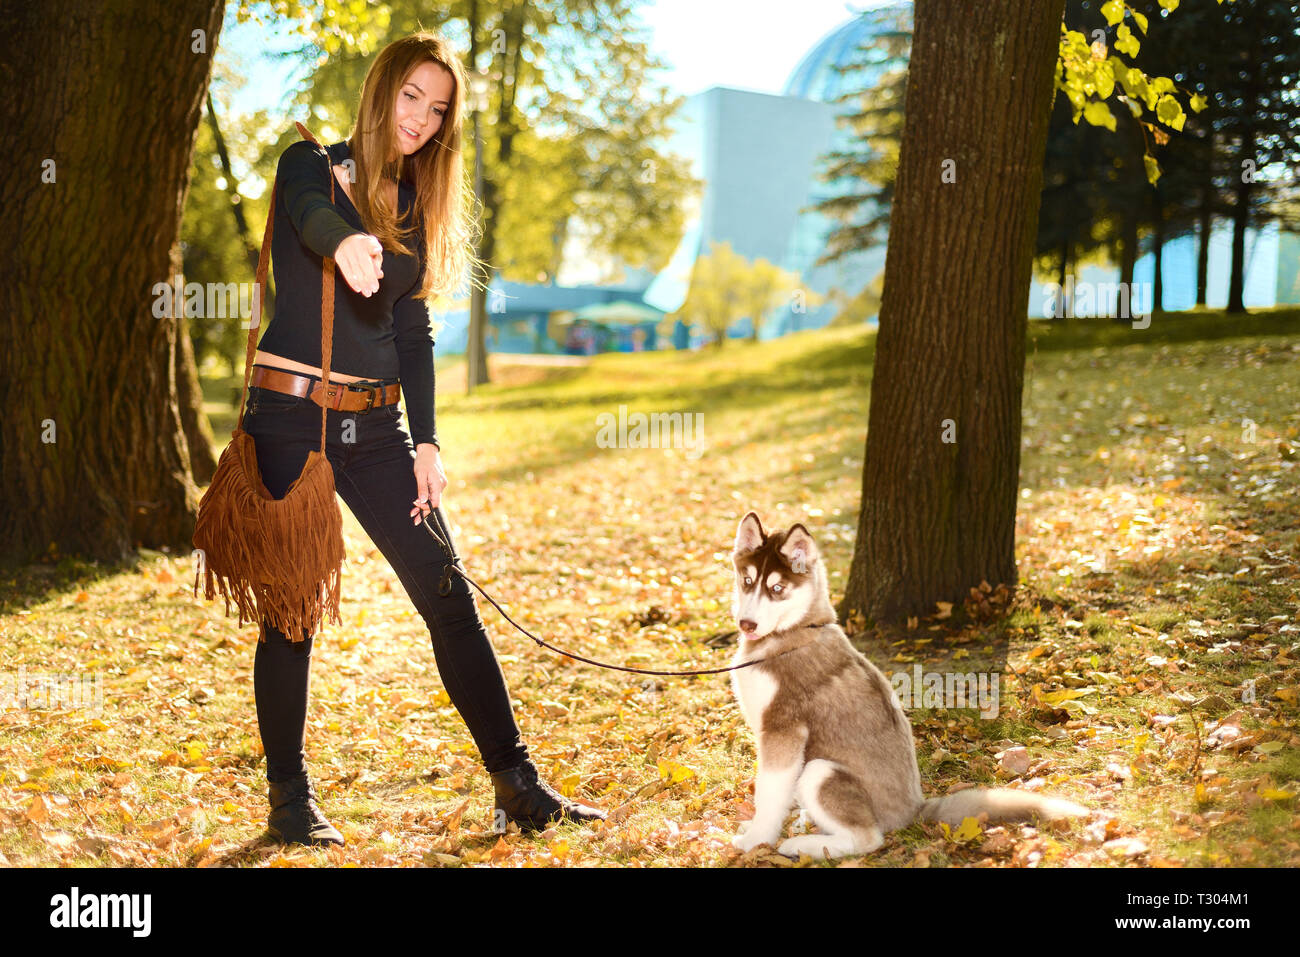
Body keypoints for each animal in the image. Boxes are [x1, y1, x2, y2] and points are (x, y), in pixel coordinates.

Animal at [733, 512, 1086, 858]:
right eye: (747, 581)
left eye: (778, 588)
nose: (746, 624)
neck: (793, 632)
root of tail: (912, 811)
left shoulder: (784, 729)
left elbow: (769, 793)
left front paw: (757, 840)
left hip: (820, 770)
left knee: (867, 839)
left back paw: (804, 845)